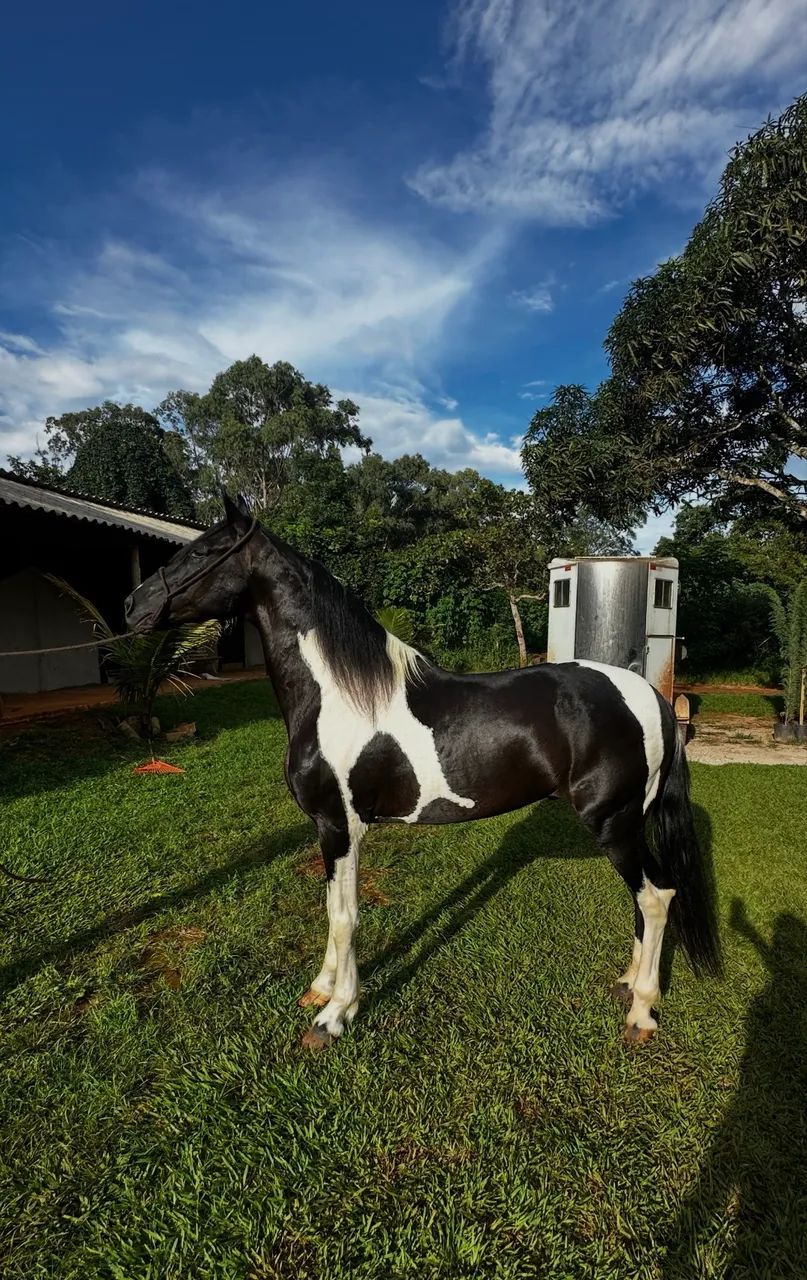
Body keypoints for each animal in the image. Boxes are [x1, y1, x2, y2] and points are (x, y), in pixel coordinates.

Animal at [125, 493, 720, 1050]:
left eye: (203, 551)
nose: (132, 604)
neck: (338, 695)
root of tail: (646, 693)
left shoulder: (342, 826)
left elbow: (346, 917)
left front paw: (334, 1015)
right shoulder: (328, 829)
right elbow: (331, 908)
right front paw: (321, 989)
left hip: (613, 825)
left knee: (656, 897)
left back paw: (641, 1011)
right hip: (629, 825)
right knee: (645, 901)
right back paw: (627, 982)